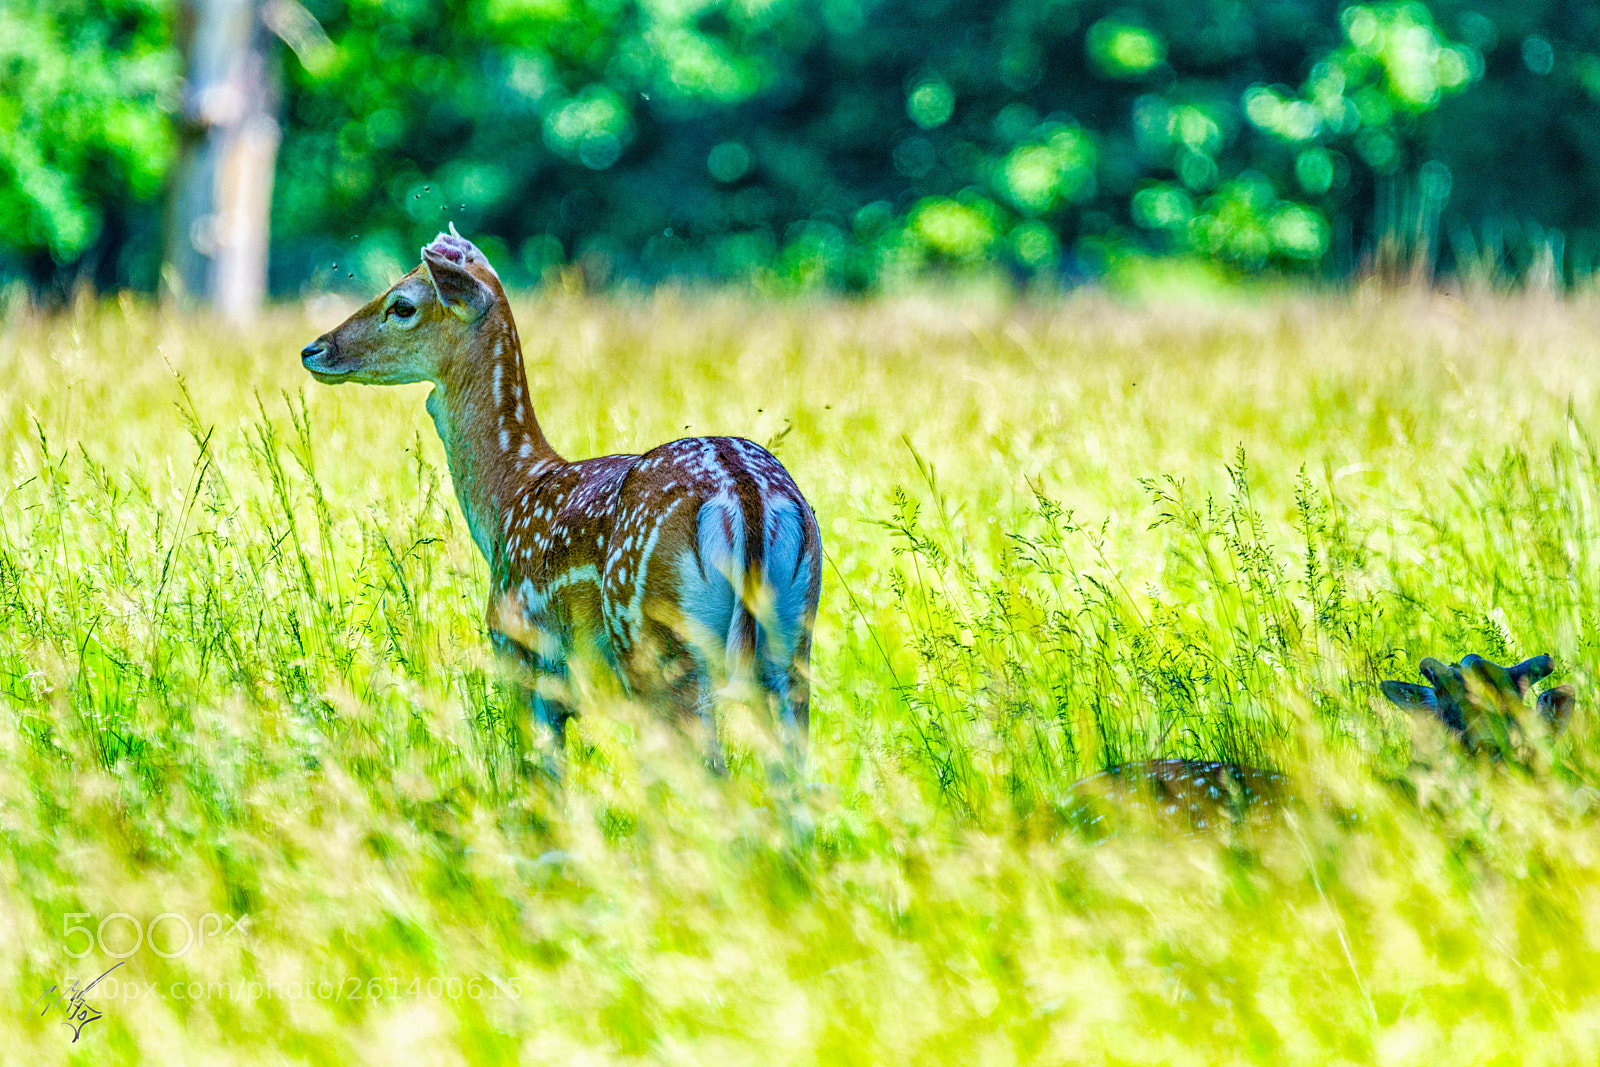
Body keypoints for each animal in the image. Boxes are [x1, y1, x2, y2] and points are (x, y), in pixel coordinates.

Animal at [299, 228, 822, 774]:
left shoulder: (524, 659)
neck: (512, 494)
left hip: (655, 642)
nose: (314, 349)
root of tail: (745, 494)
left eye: (402, 304)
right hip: (793, 645)